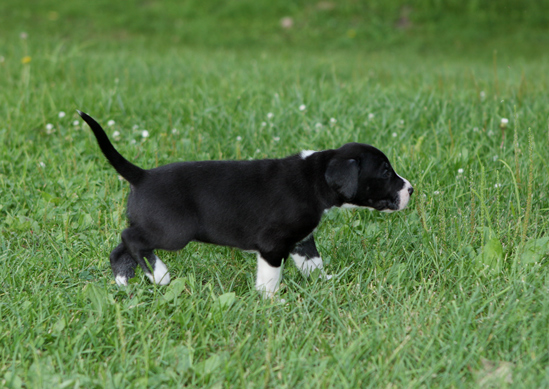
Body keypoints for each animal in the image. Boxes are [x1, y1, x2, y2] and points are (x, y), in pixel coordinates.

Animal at [77, 110, 412, 298]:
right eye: (385, 171)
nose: (411, 188)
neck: (315, 178)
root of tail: (142, 175)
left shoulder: (302, 240)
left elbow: (313, 264)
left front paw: (327, 281)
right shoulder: (273, 245)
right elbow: (270, 276)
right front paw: (272, 301)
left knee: (119, 248)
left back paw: (124, 281)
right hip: (172, 232)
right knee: (131, 239)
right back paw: (159, 274)